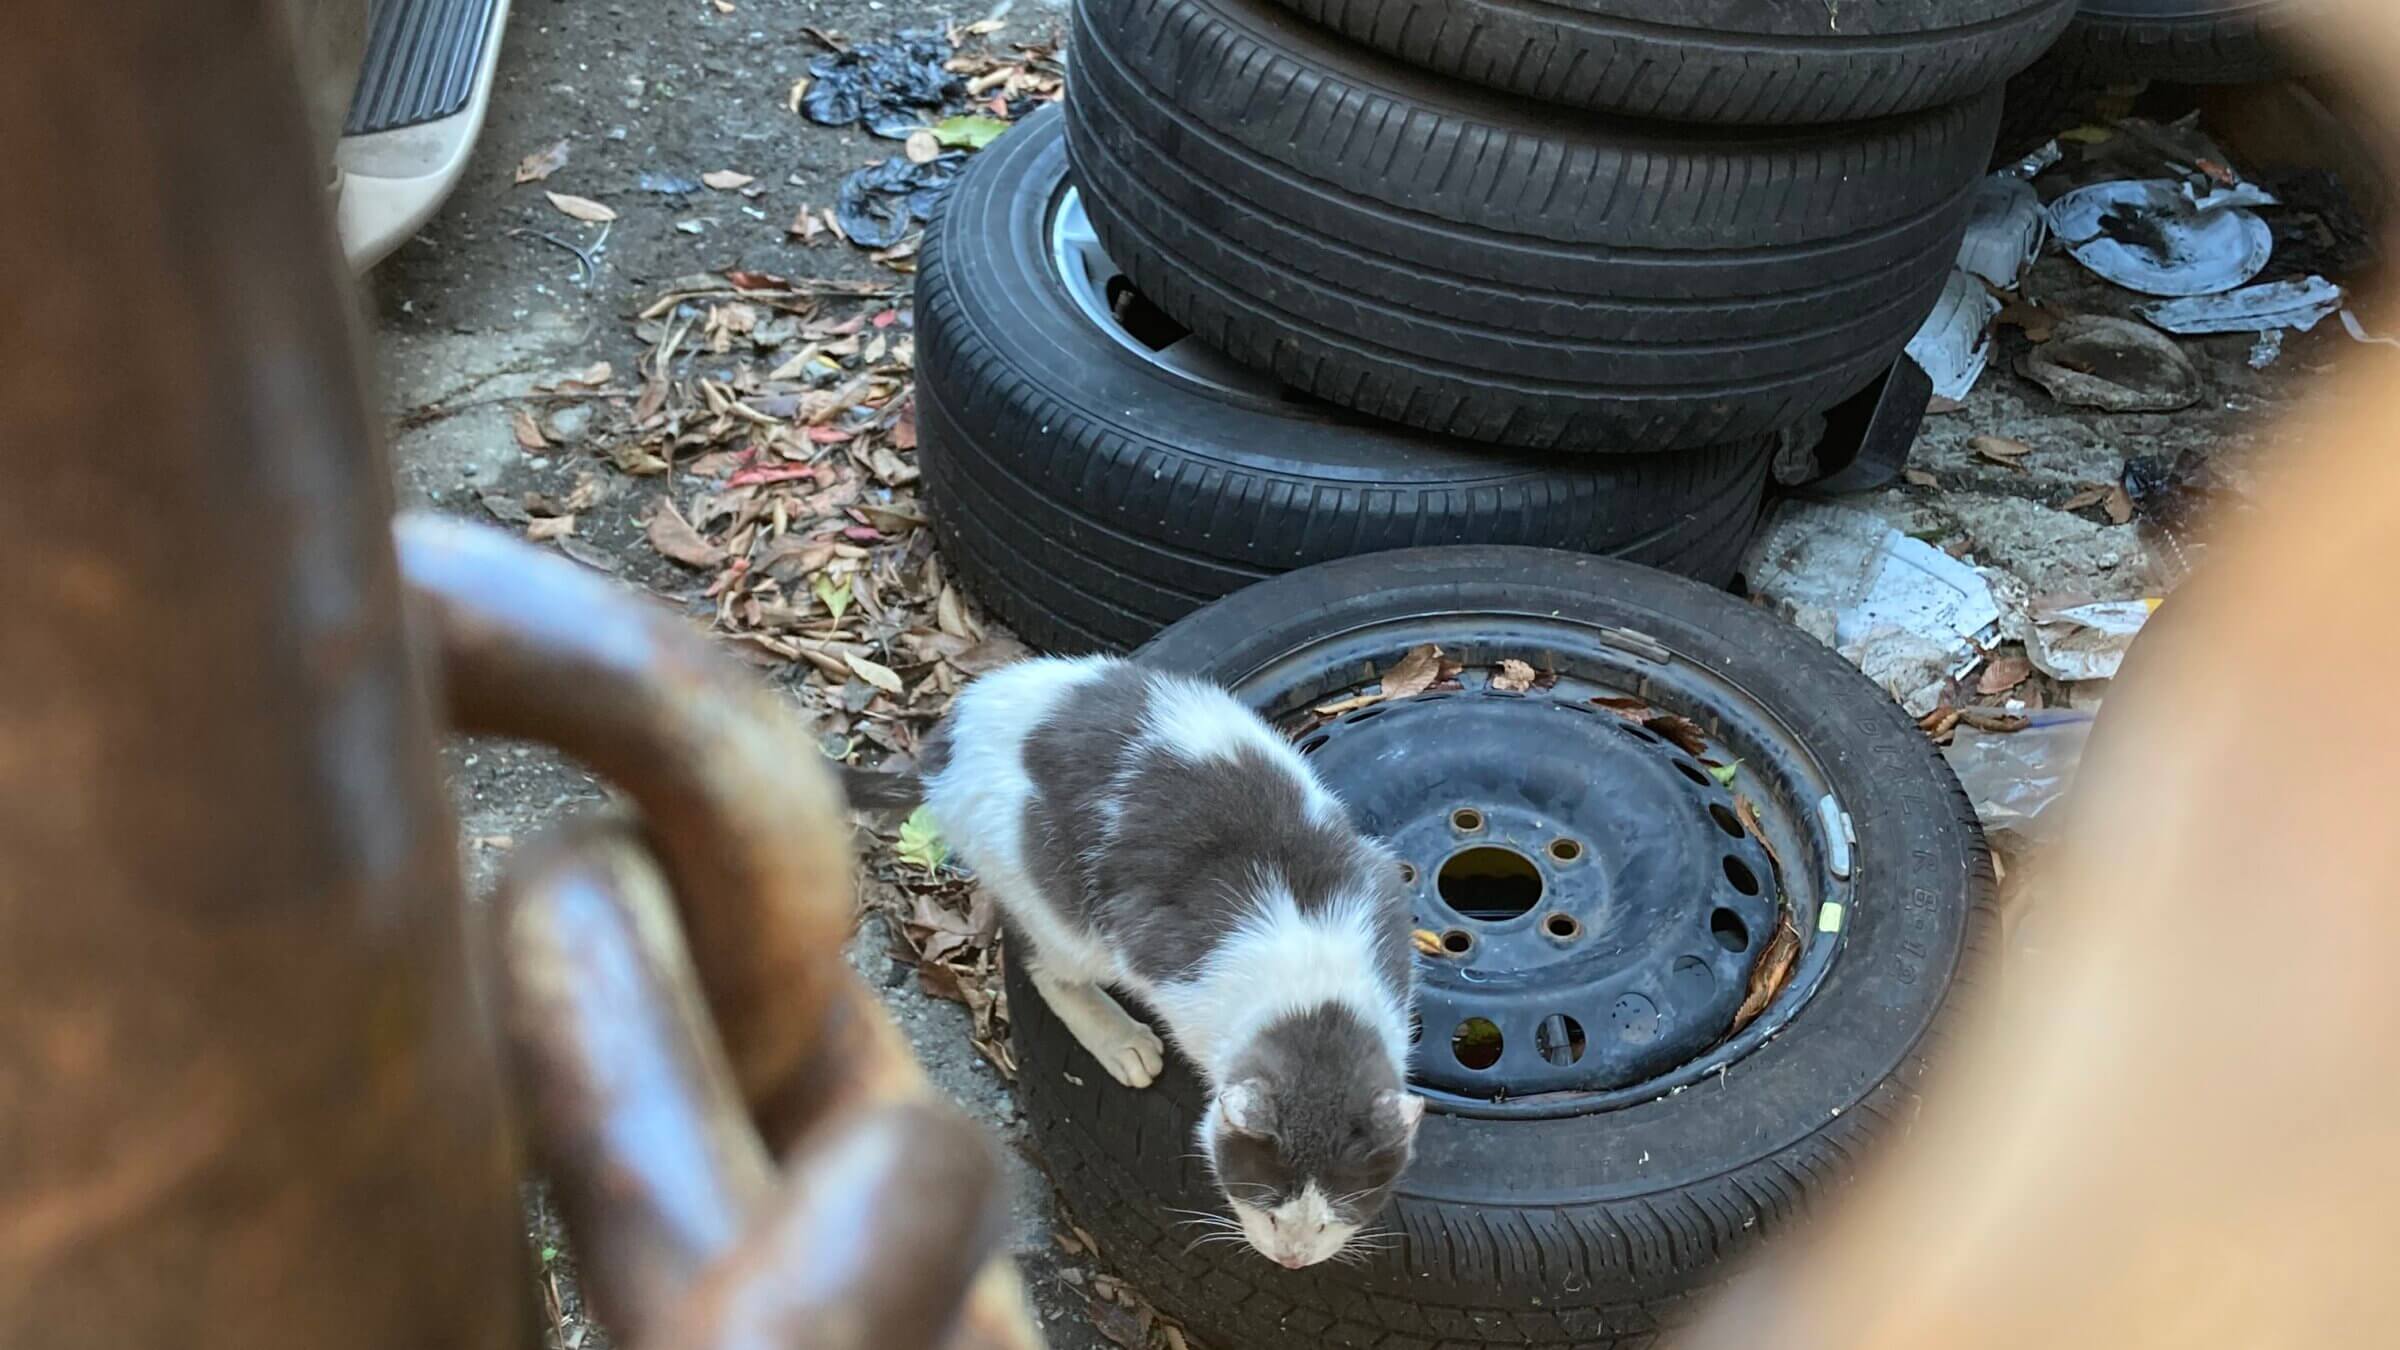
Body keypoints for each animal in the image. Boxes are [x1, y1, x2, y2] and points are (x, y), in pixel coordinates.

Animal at [854, 653, 1420, 1258]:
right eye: (1266, 1209)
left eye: (1333, 1218)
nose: (1291, 1259)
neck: (1316, 998)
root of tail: (949, 741)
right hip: (1057, 906)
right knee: (1043, 963)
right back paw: (1120, 1039)